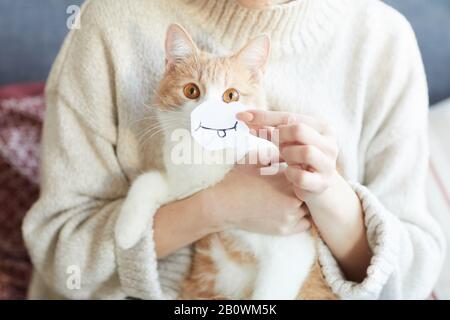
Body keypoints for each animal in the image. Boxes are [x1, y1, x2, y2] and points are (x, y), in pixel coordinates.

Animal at [114, 23, 336, 300]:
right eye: (191, 90)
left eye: (231, 95)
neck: (204, 156)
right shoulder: (184, 188)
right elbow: (147, 180)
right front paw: (125, 232)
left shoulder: (293, 248)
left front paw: (260, 146)